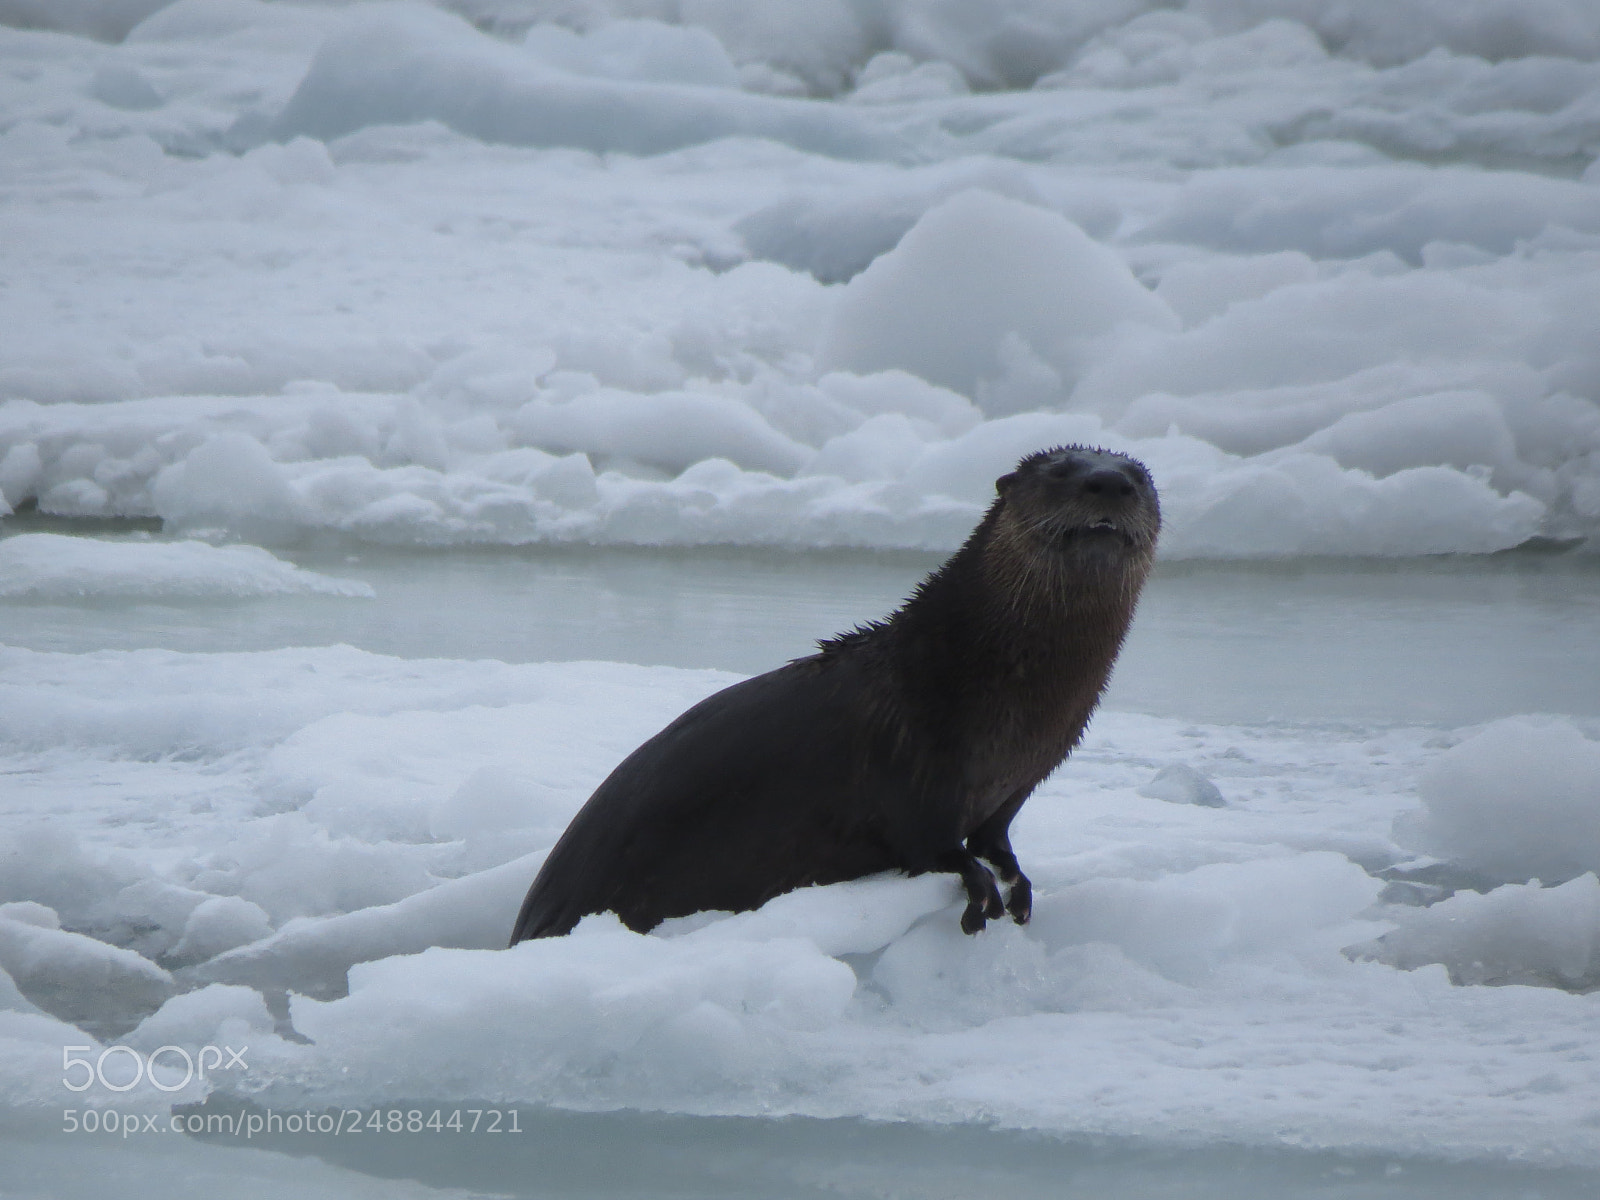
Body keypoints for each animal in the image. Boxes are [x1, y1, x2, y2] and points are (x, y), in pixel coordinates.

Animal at [510, 445, 1160, 943]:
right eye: (1059, 470)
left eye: (1139, 476)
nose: (1108, 482)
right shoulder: (917, 760)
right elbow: (930, 842)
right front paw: (977, 886)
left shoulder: (1023, 778)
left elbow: (995, 835)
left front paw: (1014, 879)